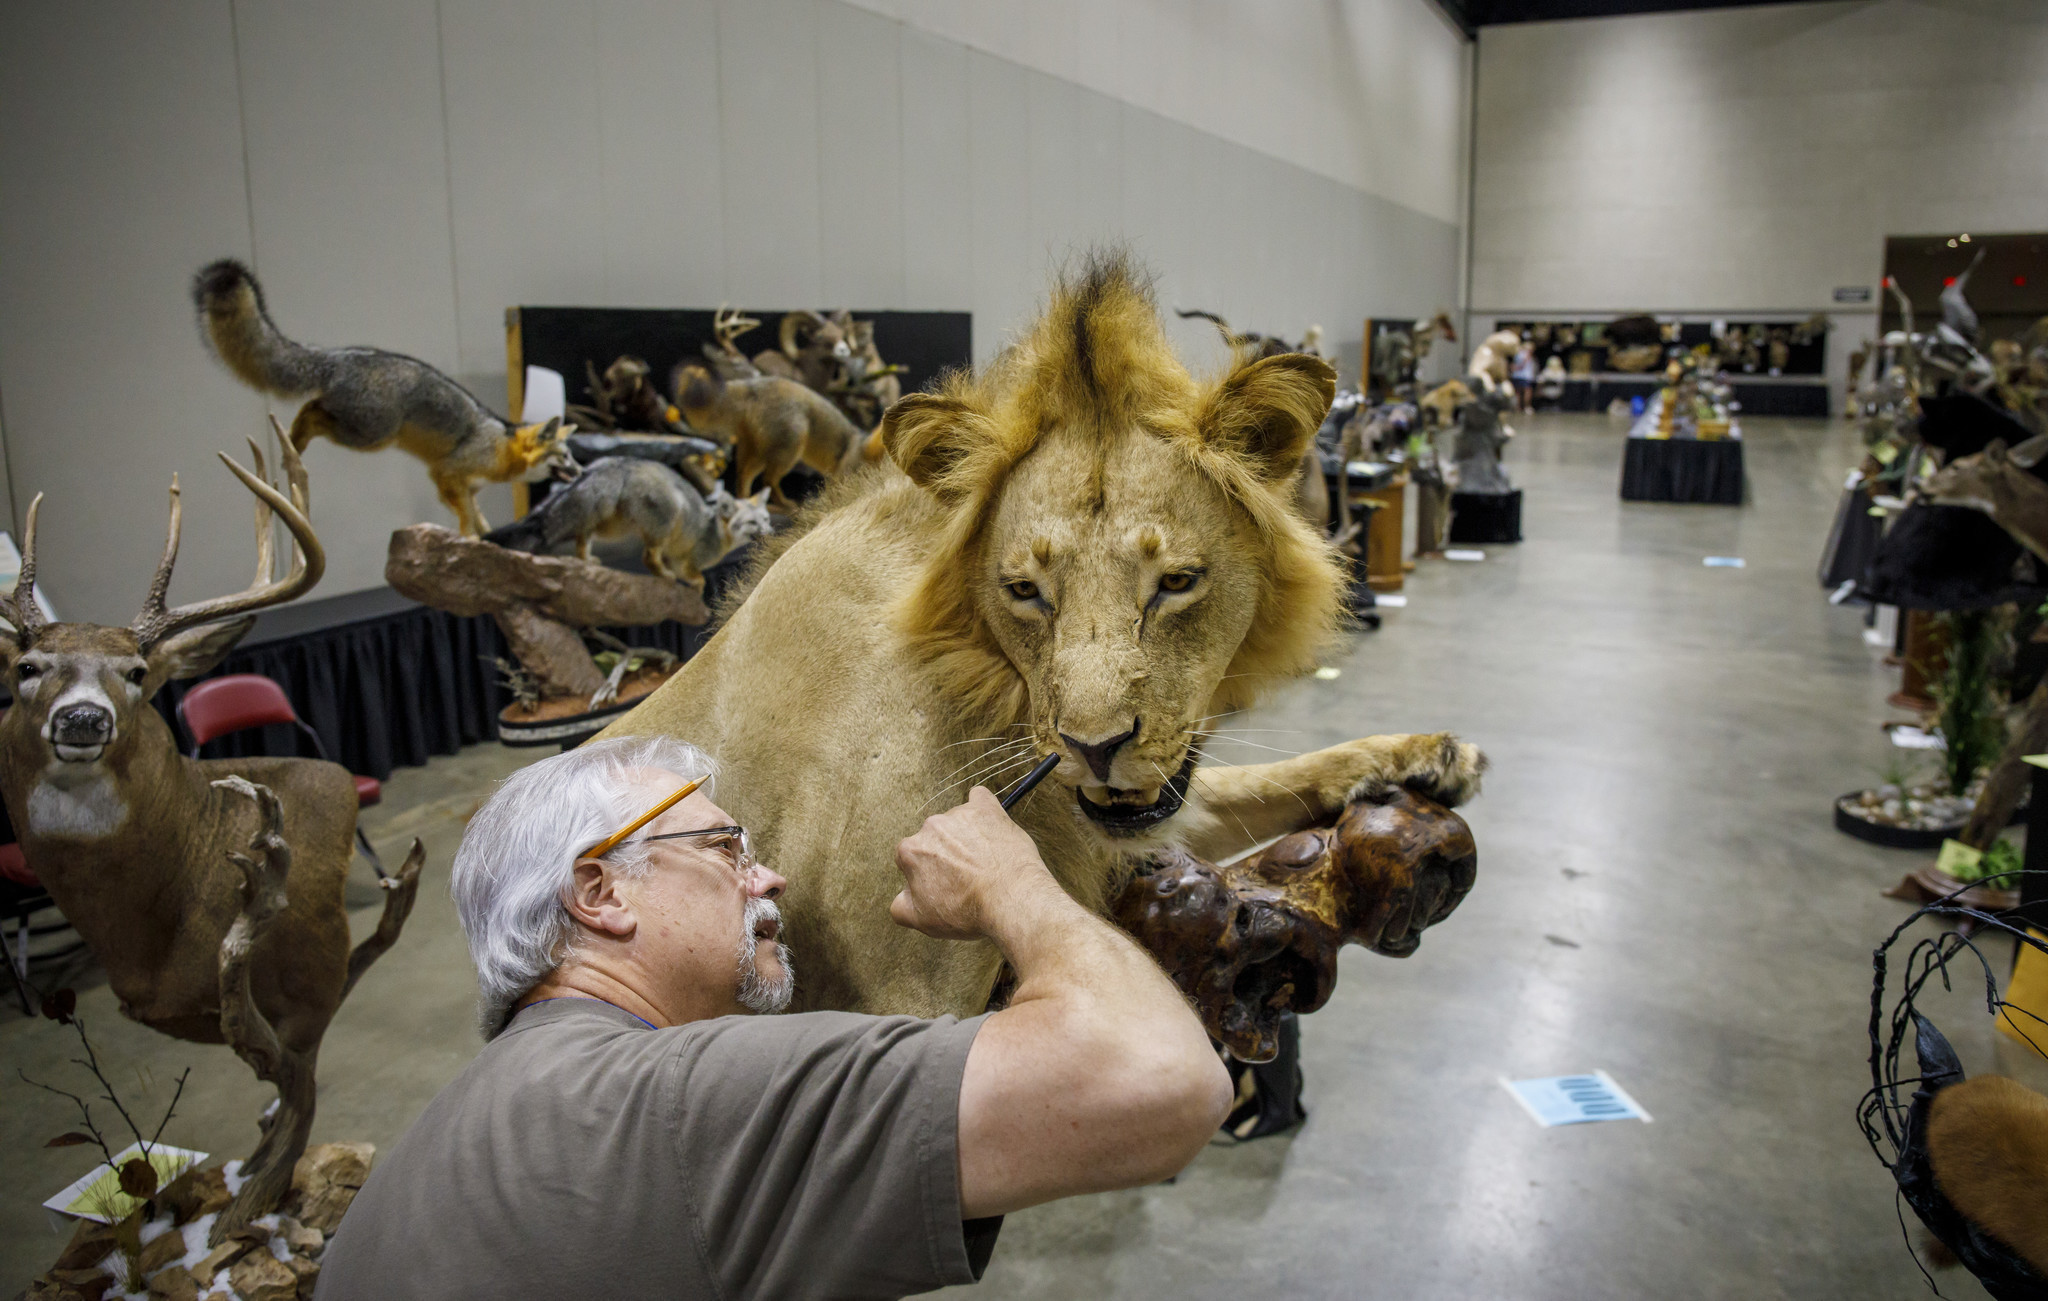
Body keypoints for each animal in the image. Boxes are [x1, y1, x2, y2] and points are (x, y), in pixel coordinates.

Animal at [0, 434, 421, 1245]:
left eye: (137, 671)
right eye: (24, 668)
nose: (82, 719)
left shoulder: (299, 997)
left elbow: (302, 1094)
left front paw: (247, 1210)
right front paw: (241, 1188)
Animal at [192, 262, 577, 536]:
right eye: (564, 457)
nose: (580, 471)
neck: (502, 443)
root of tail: (339, 357)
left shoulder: (465, 487)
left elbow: (478, 517)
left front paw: (491, 540)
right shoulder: (446, 474)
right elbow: (466, 520)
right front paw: (470, 542)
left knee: (313, 408)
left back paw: (292, 446)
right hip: (372, 435)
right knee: (312, 410)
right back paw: (295, 443)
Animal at [485, 452, 774, 585]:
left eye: (767, 519)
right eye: (752, 523)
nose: (770, 532)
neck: (713, 530)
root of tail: (623, 462)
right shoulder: (688, 560)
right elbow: (695, 576)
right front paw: (694, 584)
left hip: (608, 524)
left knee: (582, 534)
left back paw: (587, 559)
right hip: (666, 517)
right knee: (647, 557)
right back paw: (664, 576)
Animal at [598, 254, 1482, 1016]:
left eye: (1174, 583)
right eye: (1025, 592)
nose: (1094, 747)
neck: (989, 694)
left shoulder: (1128, 812)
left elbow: (1277, 777)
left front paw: (1429, 754)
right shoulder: (908, 997)